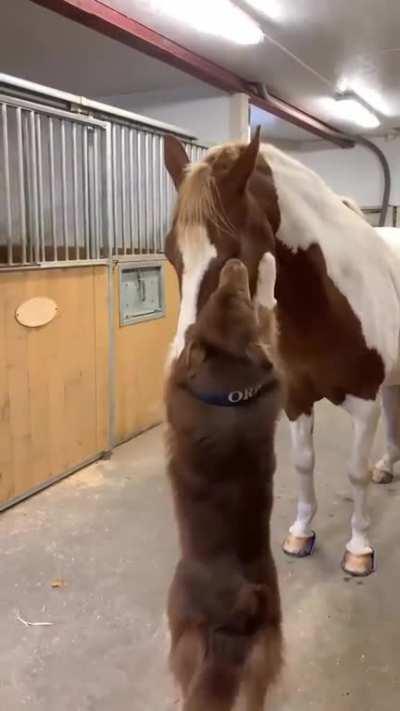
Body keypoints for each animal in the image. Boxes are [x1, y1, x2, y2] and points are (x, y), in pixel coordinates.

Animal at [163, 128, 400, 578]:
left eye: (232, 253)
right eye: (172, 252)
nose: (186, 366)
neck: (327, 303)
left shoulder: (365, 402)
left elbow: (354, 472)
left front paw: (359, 548)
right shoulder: (296, 398)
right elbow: (304, 462)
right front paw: (301, 532)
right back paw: (388, 465)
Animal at [165, 257, 282, 710]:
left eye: (236, 295)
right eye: (220, 294)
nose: (233, 262)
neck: (229, 391)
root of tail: (239, 608)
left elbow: (269, 307)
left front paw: (268, 264)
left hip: (181, 632)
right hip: (265, 652)